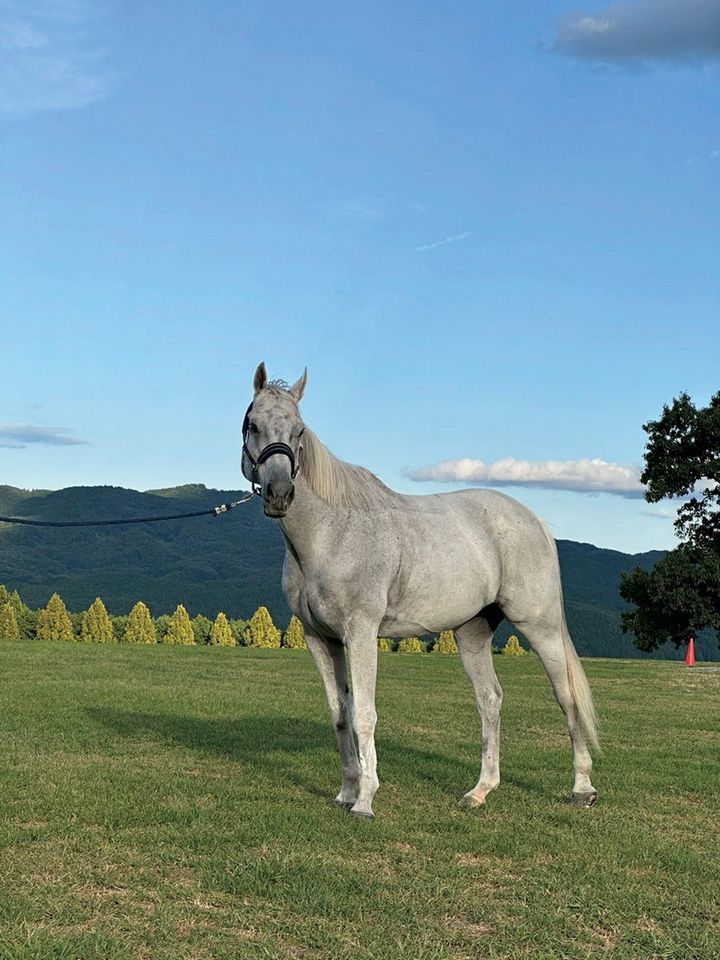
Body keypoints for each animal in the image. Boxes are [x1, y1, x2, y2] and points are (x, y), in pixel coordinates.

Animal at [241, 362, 599, 820]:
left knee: (566, 697)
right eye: (253, 424)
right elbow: (340, 713)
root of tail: (534, 521)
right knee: (490, 700)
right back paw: (480, 790)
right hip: (472, 632)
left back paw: (582, 787)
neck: (331, 532)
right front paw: (346, 790)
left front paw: (365, 801)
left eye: (300, 430)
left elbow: (364, 714)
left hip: (541, 626)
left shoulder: (360, 633)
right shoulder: (320, 638)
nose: (280, 493)